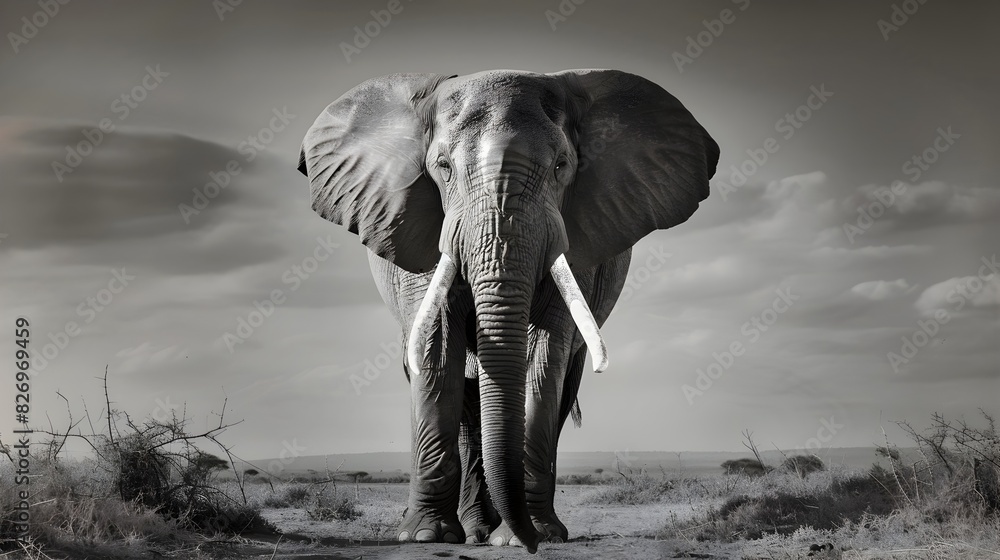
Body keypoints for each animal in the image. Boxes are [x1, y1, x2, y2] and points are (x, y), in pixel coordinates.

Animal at [296, 69, 719, 552]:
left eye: (562, 166)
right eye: (442, 168)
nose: (532, 544)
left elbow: (545, 358)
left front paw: (526, 538)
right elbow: (437, 354)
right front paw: (424, 536)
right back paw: (474, 531)